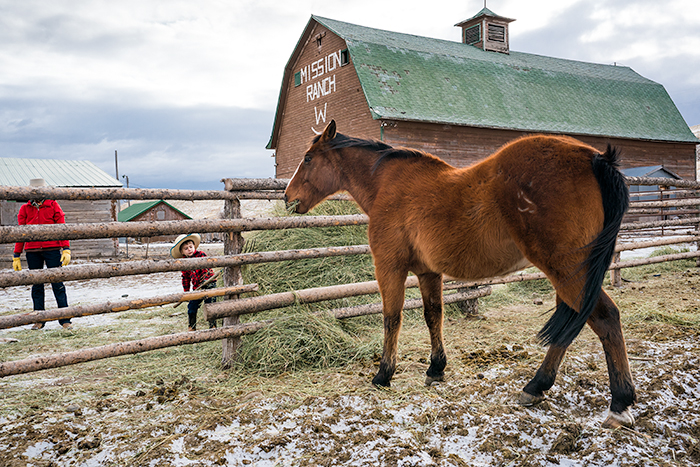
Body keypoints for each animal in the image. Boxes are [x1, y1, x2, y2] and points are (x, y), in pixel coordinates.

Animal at [284, 119, 636, 428]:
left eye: (307, 158)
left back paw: (618, 404)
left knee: (605, 318)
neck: (387, 183)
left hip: (567, 271)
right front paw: (435, 368)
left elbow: (392, 318)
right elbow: (433, 315)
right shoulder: (427, 272)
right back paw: (537, 387)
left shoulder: (389, 266)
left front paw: (384, 374)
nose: (288, 197)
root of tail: (596, 158)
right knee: (574, 324)